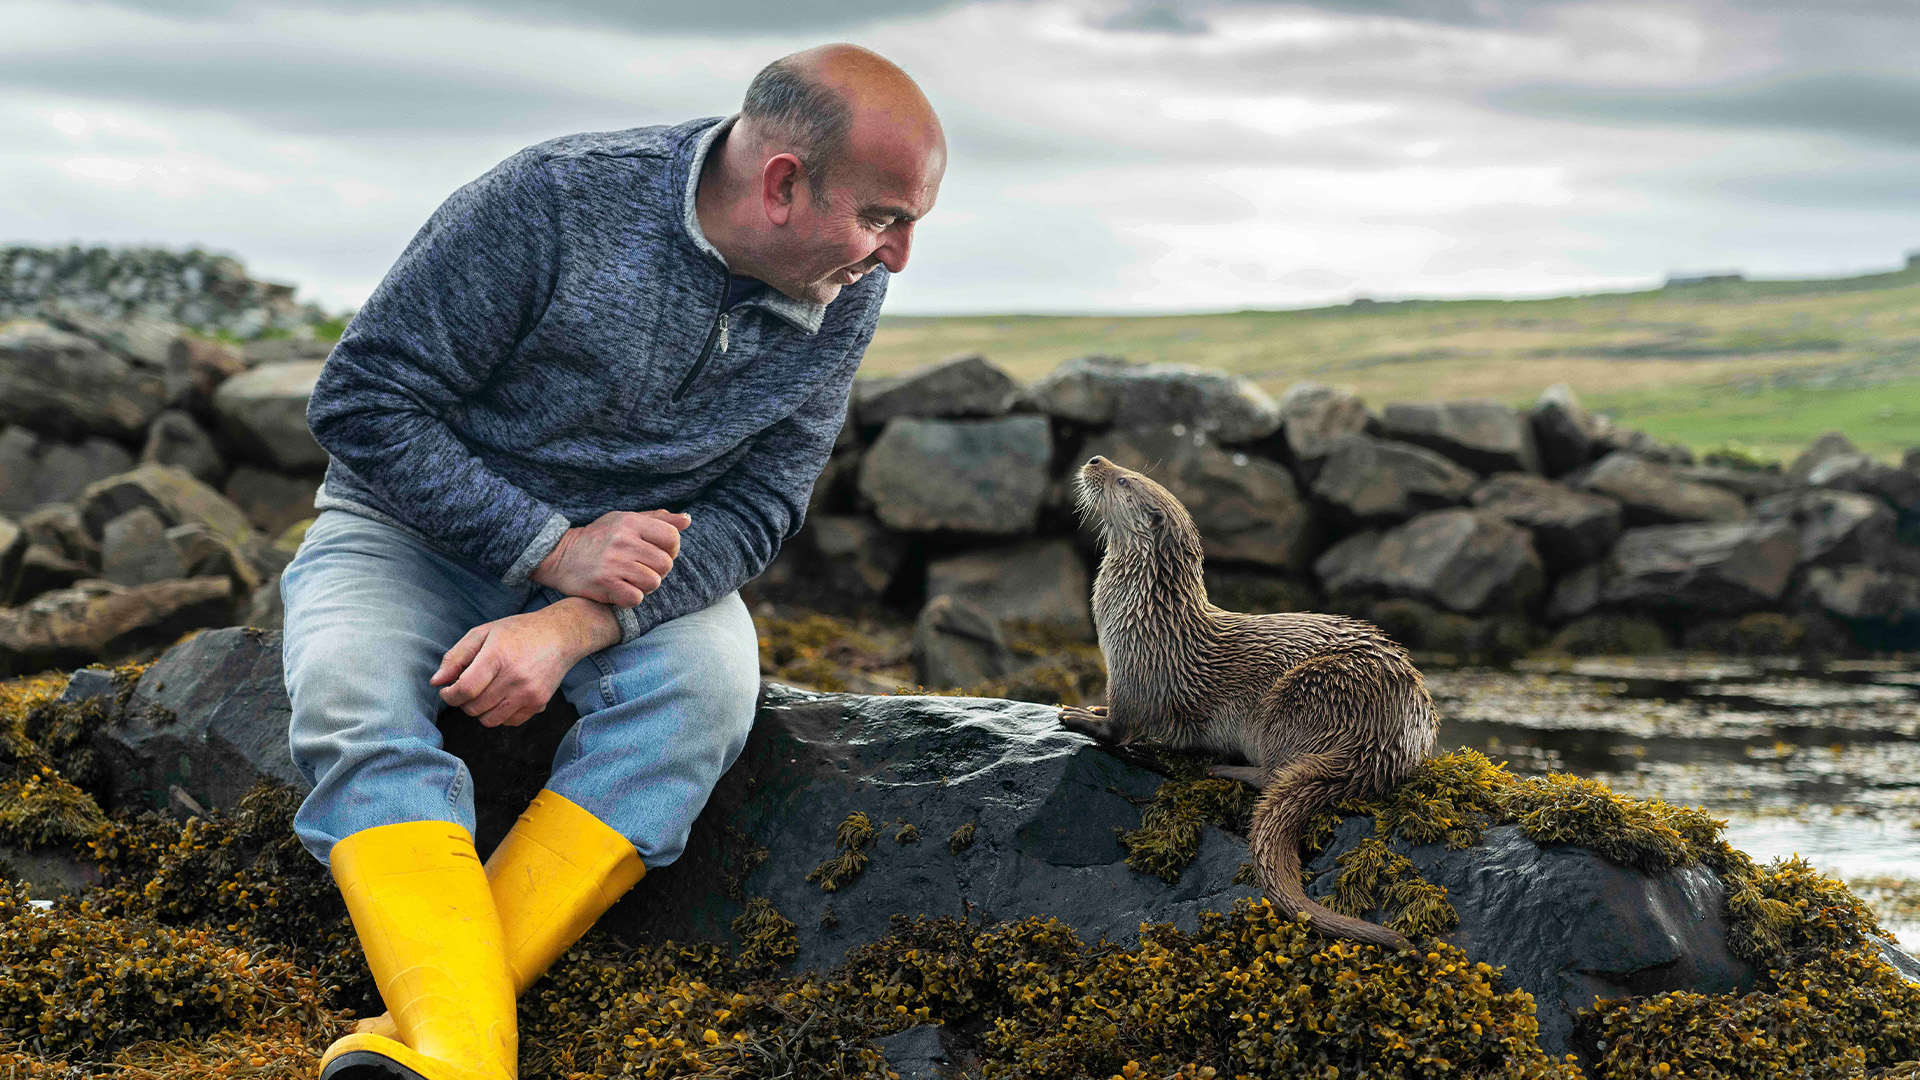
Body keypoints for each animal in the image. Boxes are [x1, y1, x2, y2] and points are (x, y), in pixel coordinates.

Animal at [1062, 455, 1438, 951]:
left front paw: (1079, 716)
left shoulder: (1138, 672)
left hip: (1301, 698)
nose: (1095, 460)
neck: (1146, 613)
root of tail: (1391, 741)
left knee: (1275, 771)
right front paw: (1092, 707)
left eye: (1125, 480)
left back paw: (1224, 768)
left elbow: (1122, 728)